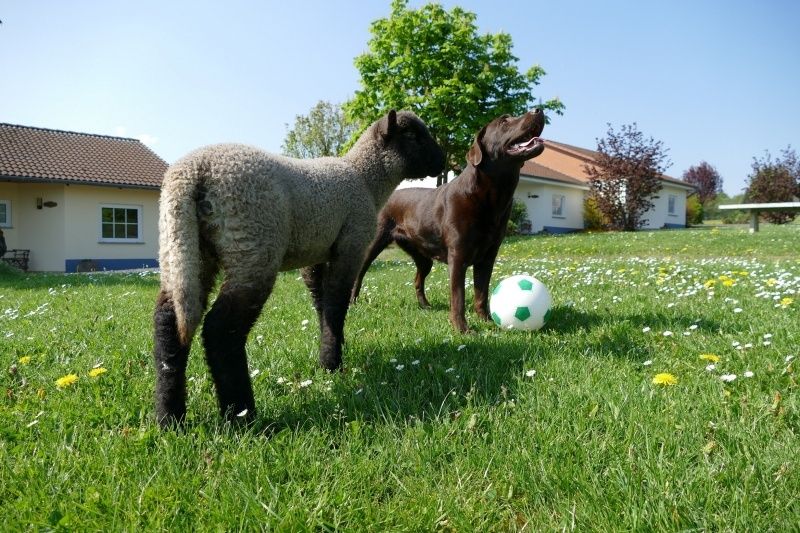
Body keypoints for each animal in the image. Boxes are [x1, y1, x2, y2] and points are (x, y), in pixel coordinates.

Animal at [154, 110, 444, 426]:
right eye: (413, 135)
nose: (443, 158)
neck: (364, 178)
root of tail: (192, 172)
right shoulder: (350, 245)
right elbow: (336, 304)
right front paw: (331, 364)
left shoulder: (315, 254)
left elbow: (322, 305)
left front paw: (332, 351)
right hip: (253, 246)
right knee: (220, 329)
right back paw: (242, 414)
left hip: (183, 249)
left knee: (168, 322)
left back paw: (170, 418)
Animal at [350, 108, 544, 330]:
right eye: (504, 121)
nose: (538, 110)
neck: (491, 196)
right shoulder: (458, 256)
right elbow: (458, 296)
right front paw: (462, 329)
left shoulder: (488, 256)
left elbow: (481, 292)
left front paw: (487, 321)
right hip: (374, 244)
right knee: (359, 274)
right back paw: (353, 302)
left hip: (423, 256)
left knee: (418, 279)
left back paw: (425, 306)